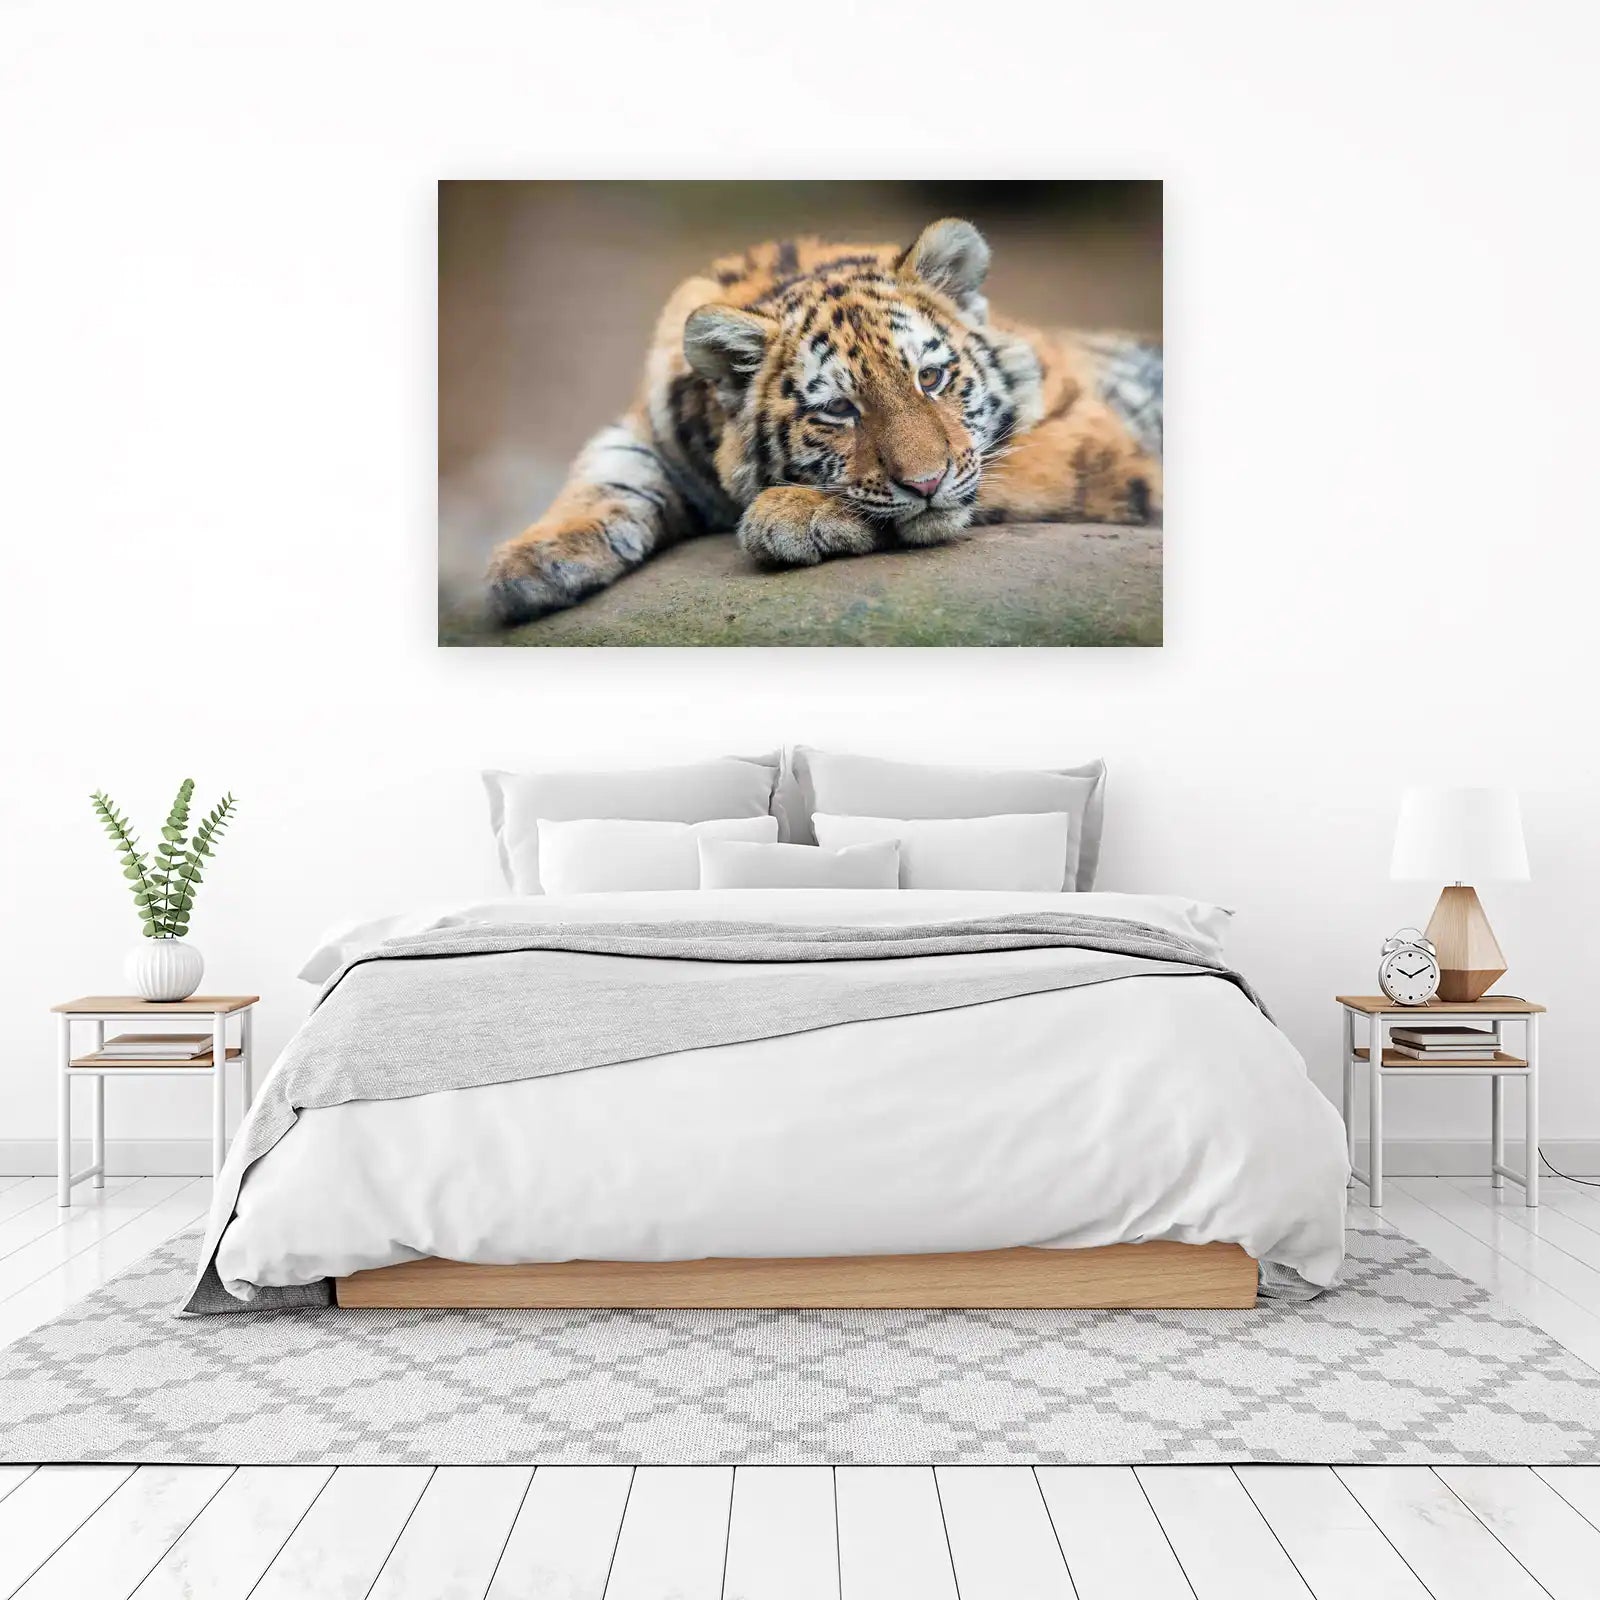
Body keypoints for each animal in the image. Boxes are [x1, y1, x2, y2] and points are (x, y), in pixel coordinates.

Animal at [486, 218, 1162, 626]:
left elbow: (992, 472)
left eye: (931, 378)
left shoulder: (1090, 433)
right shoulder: (648, 431)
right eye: (838, 409)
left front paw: (791, 515)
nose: (927, 483)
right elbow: (606, 473)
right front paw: (534, 562)